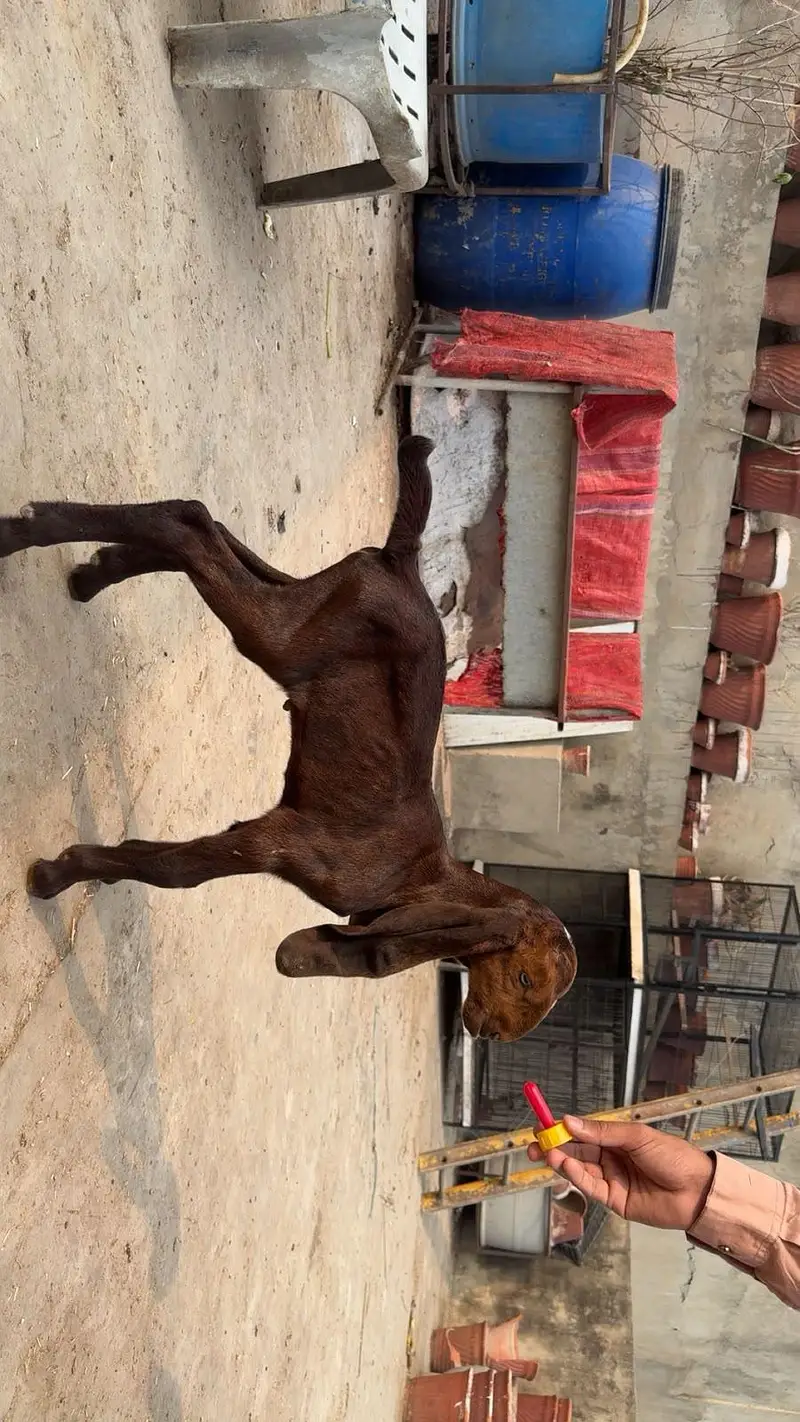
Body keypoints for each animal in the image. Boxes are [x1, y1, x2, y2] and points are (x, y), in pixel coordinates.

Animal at [0, 438, 576, 1041]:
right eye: (526, 980)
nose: (489, 1034)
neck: (420, 879)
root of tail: (403, 563)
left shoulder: (266, 829)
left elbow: (148, 855)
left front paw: (82, 864)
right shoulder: (281, 842)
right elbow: (174, 871)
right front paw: (56, 875)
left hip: (312, 602)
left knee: (214, 533)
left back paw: (91, 570)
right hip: (284, 636)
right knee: (191, 524)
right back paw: (25, 534)